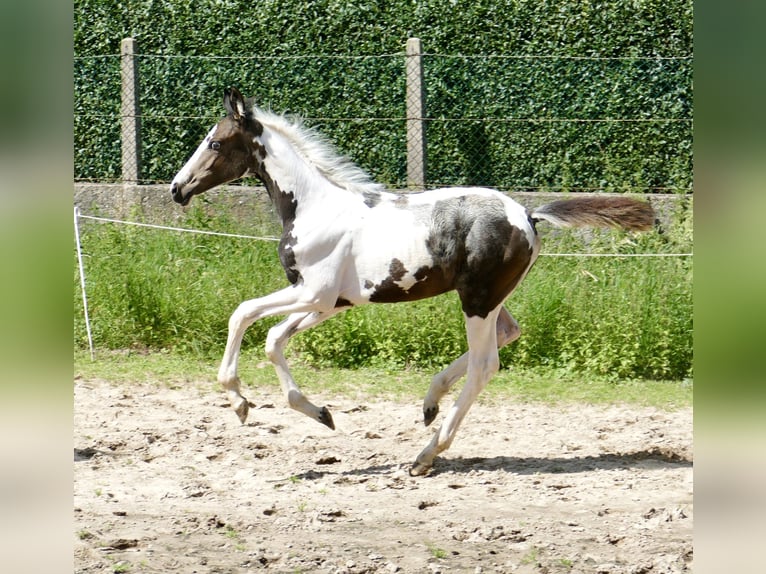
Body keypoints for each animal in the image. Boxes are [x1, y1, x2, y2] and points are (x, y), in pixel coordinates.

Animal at [171, 89, 656, 476]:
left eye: (215, 142)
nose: (177, 189)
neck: (314, 206)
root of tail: (528, 214)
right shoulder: (329, 303)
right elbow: (274, 339)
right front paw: (321, 413)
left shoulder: (311, 292)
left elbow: (242, 314)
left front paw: (239, 402)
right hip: (492, 297)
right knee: (508, 333)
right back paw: (430, 402)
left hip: (477, 299)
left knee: (486, 364)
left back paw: (426, 454)